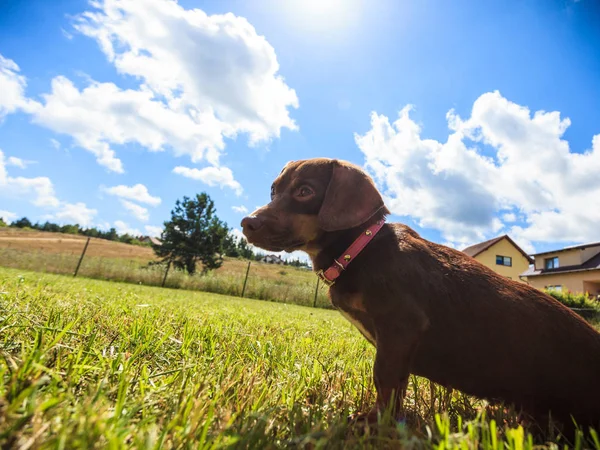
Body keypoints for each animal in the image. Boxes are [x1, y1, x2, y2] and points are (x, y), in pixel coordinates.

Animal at [240, 157, 600, 432]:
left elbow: (383, 378)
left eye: (305, 191)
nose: (247, 223)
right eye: (274, 190)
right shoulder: (397, 343)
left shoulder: (401, 326)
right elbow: (396, 384)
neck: (361, 250)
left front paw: (373, 423)